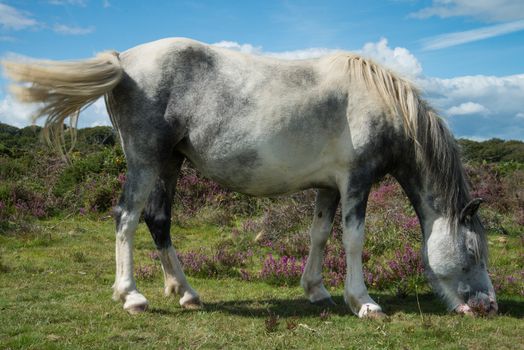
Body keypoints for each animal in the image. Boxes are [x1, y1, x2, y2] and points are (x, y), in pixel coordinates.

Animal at [2, 37, 498, 318]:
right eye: (473, 253)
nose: (489, 306)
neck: (381, 103)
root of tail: (123, 60)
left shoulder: (328, 187)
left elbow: (320, 235)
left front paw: (316, 290)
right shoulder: (357, 182)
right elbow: (353, 241)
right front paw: (363, 302)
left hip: (169, 163)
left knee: (158, 221)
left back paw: (185, 293)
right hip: (145, 161)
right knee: (126, 217)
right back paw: (132, 296)